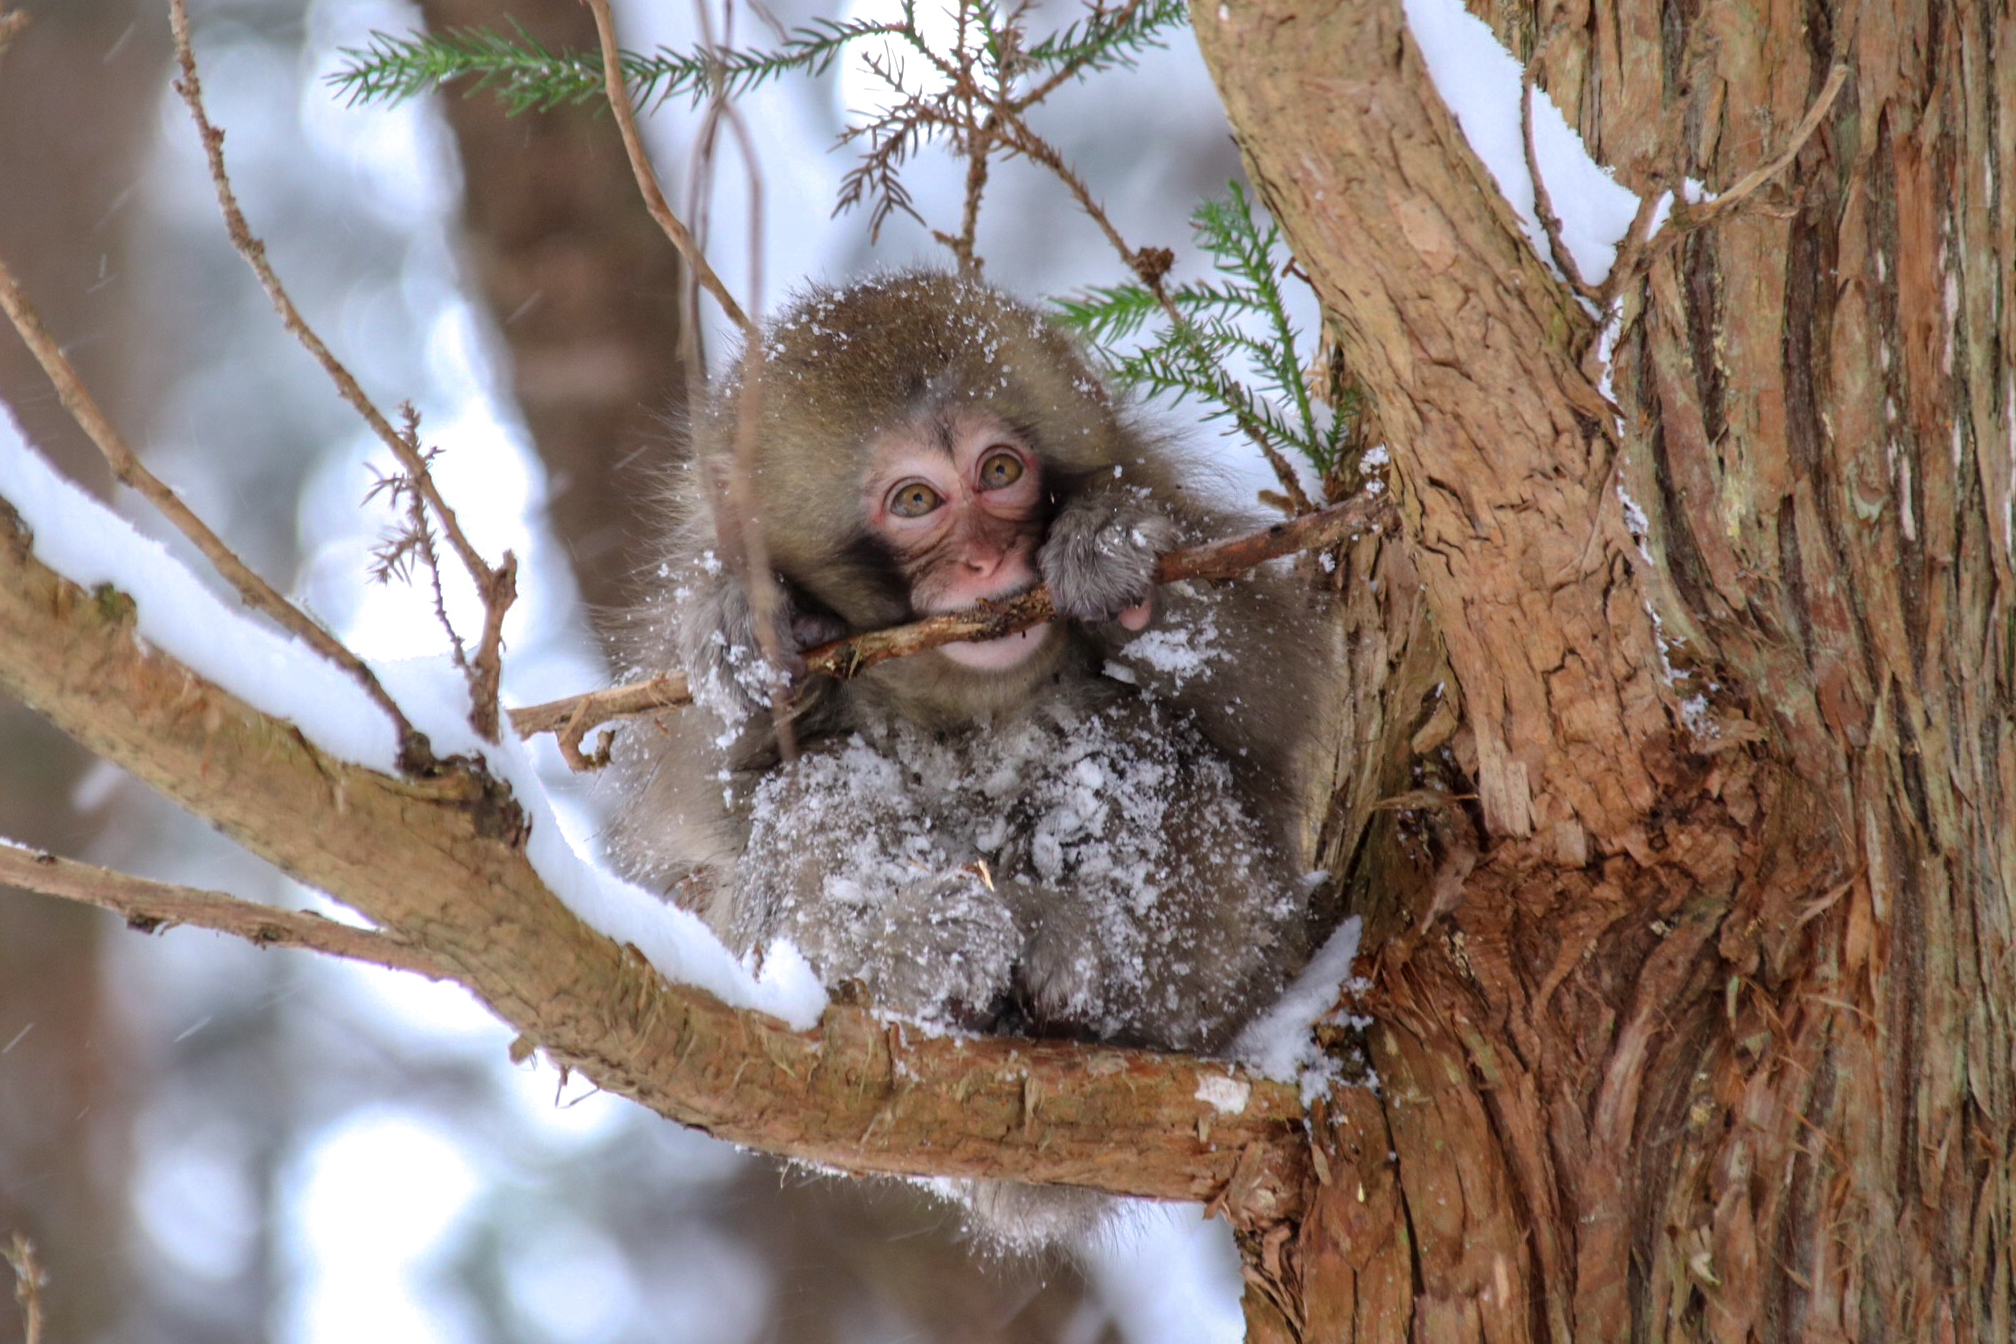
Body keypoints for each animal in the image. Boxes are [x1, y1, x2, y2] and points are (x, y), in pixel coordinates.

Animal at [606, 270, 1334, 1248]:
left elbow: (1269, 697)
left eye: (1000, 472)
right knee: (814, 788)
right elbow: (706, 805)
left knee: (1138, 745)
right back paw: (924, 955)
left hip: (1243, 961)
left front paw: (1114, 555)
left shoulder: (1162, 489)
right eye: (916, 501)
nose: (989, 560)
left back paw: (1091, 962)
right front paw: (739, 635)